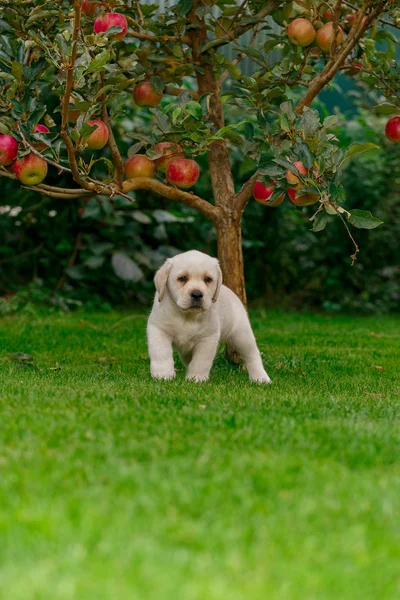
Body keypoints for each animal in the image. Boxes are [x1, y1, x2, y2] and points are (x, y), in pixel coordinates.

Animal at [148, 250, 272, 384]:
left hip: (242, 336)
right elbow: (161, 354)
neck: (188, 315)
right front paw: (163, 375)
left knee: (252, 356)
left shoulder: (208, 338)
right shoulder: (158, 330)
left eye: (208, 279)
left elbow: (200, 361)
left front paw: (196, 378)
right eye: (182, 278)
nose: (197, 294)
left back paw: (260, 378)